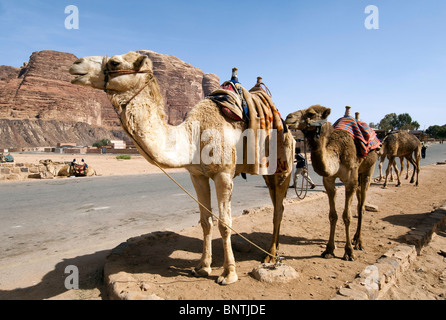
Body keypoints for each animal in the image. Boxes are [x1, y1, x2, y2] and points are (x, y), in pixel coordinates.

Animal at [69, 52, 296, 284]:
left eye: (115, 62)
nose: (76, 64)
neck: (193, 135)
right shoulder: (197, 175)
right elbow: (205, 221)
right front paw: (202, 267)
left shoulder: (223, 174)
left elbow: (225, 223)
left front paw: (228, 274)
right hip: (268, 173)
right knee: (277, 205)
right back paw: (273, 253)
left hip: (284, 166)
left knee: (278, 209)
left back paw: (271, 256)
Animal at [288, 105, 378, 260]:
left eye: (310, 114)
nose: (288, 118)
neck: (337, 153)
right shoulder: (328, 180)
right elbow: (332, 215)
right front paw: (329, 250)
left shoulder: (350, 181)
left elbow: (347, 216)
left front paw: (349, 252)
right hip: (359, 174)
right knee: (360, 200)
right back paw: (355, 238)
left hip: (369, 168)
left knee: (361, 206)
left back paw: (359, 242)